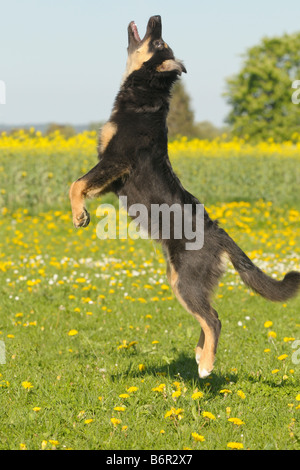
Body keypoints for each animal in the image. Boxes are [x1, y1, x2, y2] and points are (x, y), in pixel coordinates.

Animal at [68, 16, 300, 380]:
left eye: (160, 43)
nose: (157, 18)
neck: (144, 98)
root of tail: (221, 234)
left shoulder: (115, 162)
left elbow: (76, 184)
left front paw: (79, 215)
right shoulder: (111, 179)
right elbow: (82, 185)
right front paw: (82, 213)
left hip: (186, 280)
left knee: (214, 320)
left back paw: (206, 366)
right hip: (181, 280)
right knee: (207, 317)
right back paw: (200, 353)